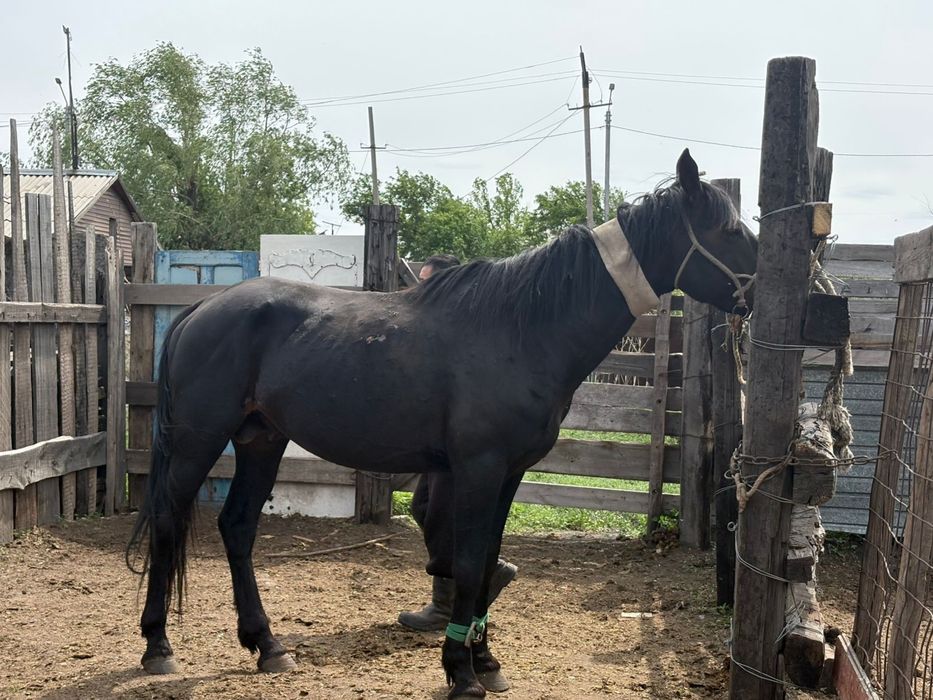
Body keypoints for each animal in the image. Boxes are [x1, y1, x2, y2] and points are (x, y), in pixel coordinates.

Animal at [126, 149, 758, 699]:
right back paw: (158, 646)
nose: (765, 290)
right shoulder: (479, 469)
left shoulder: (507, 474)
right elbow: (472, 560)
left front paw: (485, 659)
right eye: (729, 231)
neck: (522, 328)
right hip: (199, 441)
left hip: (262, 439)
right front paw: (461, 672)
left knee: (237, 526)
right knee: (168, 518)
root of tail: (201, 309)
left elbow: (484, 560)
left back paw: (267, 645)